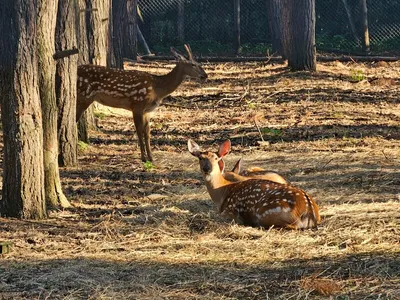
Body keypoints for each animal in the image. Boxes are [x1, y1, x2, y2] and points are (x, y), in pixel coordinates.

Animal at [188, 139, 322, 230]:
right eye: (200, 158)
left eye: (216, 158)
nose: (207, 168)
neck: (223, 191)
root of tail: (309, 211)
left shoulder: (229, 213)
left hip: (265, 211)